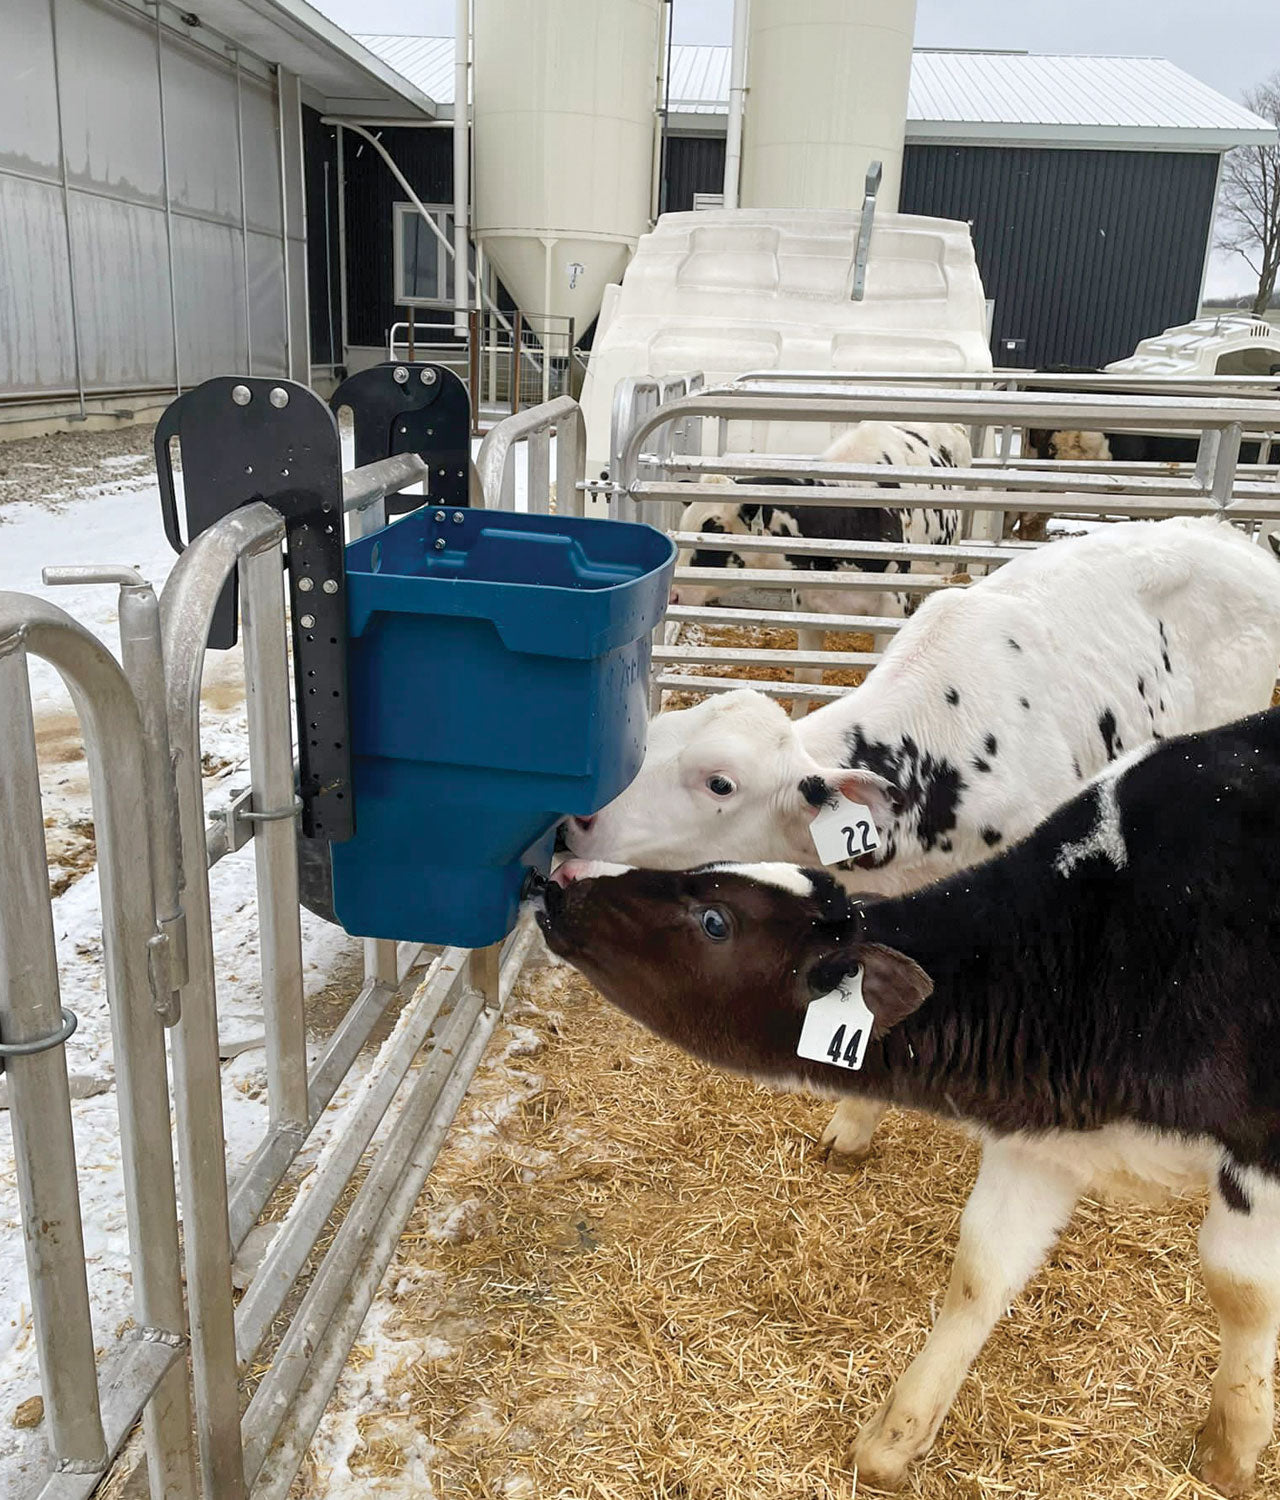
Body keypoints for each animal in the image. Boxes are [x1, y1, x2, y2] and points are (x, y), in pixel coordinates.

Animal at [537, 708, 1280, 1492]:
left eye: (715, 921)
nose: (561, 882)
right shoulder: (1045, 1139)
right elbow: (982, 1270)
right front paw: (895, 1438)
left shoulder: (1259, 1155)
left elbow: (1241, 1290)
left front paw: (1232, 1450)